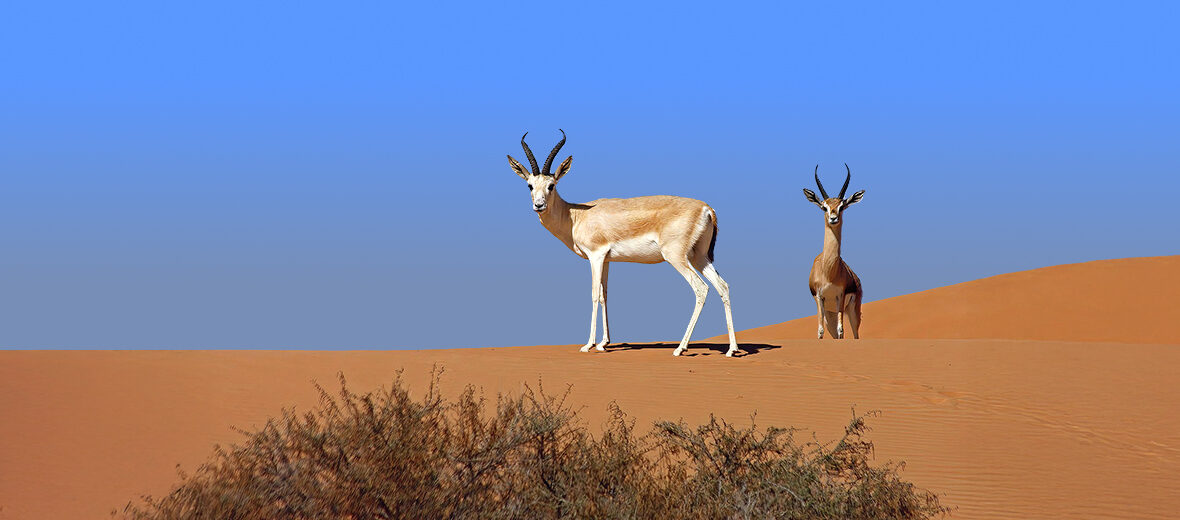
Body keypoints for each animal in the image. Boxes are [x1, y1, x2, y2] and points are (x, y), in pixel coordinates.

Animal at [506, 130, 740, 357]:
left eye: (551, 185)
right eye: (530, 185)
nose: (539, 205)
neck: (575, 215)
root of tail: (706, 208)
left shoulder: (596, 256)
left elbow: (594, 295)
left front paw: (589, 345)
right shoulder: (607, 260)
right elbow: (604, 296)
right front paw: (604, 343)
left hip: (676, 257)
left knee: (701, 288)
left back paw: (680, 348)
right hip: (699, 256)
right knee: (723, 286)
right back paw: (731, 349)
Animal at [802, 164, 865, 339]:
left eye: (841, 206)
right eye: (824, 207)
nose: (833, 218)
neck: (828, 270)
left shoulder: (840, 296)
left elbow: (841, 330)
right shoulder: (819, 298)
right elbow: (820, 331)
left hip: (851, 310)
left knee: (855, 334)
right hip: (829, 313)